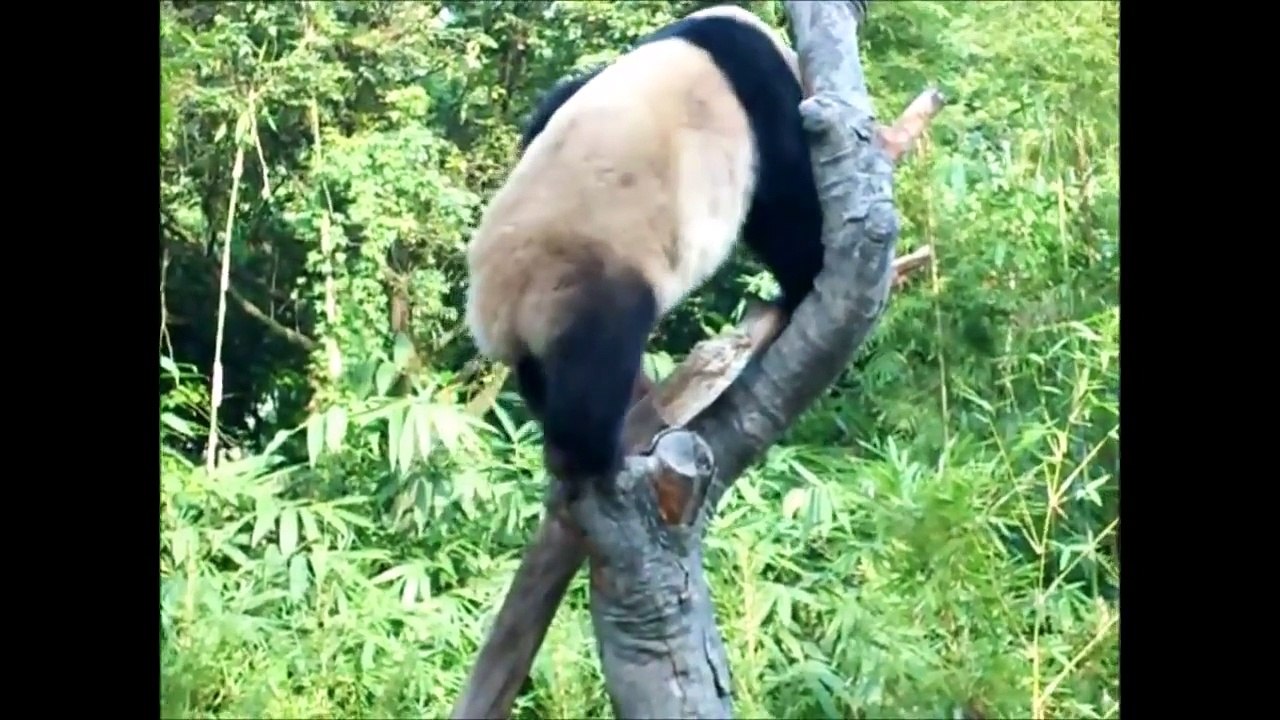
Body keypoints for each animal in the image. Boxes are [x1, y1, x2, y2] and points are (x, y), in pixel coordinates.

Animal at [465, 4, 825, 499]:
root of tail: (497, 317)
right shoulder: (756, 92)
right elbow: (784, 200)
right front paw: (805, 280)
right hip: (588, 275)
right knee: (597, 368)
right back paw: (594, 454)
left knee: (542, 376)